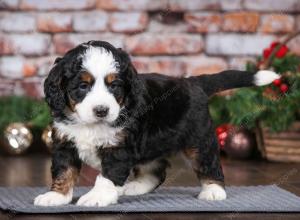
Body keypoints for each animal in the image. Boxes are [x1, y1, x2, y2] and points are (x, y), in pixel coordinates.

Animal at [34, 40, 280, 207]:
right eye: (83, 86)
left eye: (114, 86)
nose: (101, 110)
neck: (89, 124)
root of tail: (193, 82)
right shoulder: (65, 142)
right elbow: (64, 171)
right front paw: (56, 196)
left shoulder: (119, 147)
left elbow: (107, 176)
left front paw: (97, 196)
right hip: (151, 144)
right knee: (155, 171)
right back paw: (133, 187)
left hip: (198, 139)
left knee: (207, 163)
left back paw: (213, 191)